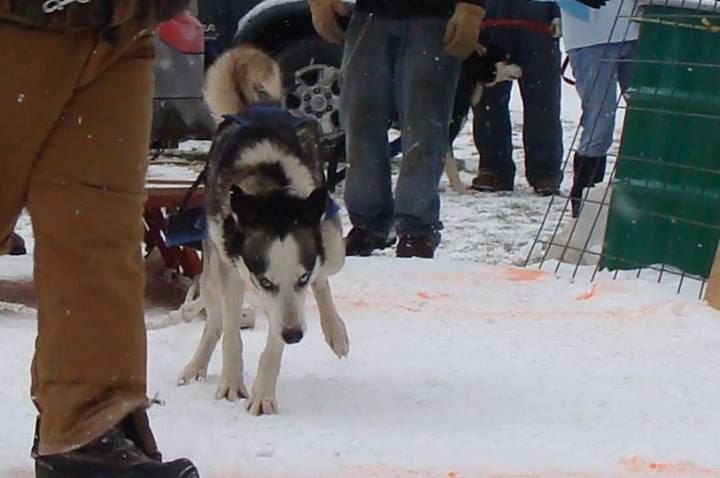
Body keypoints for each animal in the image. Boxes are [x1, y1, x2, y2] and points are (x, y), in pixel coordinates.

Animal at [179, 46, 350, 416]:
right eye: (265, 281)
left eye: (299, 279)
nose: (295, 335)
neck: (269, 188)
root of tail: (255, 107)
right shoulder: (236, 274)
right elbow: (231, 335)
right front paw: (231, 382)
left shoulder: (298, 287)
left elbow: (274, 344)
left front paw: (263, 393)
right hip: (212, 272)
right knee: (215, 320)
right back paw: (196, 364)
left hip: (333, 248)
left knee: (326, 275)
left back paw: (336, 331)